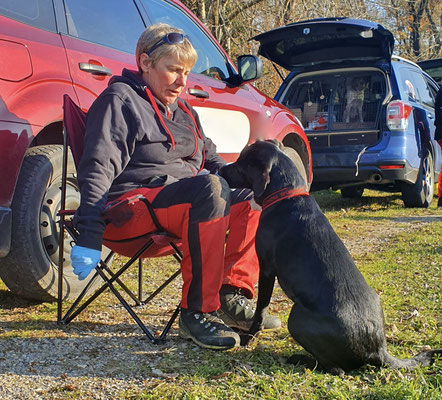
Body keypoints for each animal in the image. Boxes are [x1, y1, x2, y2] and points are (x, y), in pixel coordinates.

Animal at [220, 141, 438, 376]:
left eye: (241, 163)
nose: (220, 170)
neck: (286, 194)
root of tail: (377, 349)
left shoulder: (267, 269)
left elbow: (261, 309)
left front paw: (247, 338)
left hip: (296, 316)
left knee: (336, 369)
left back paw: (299, 359)